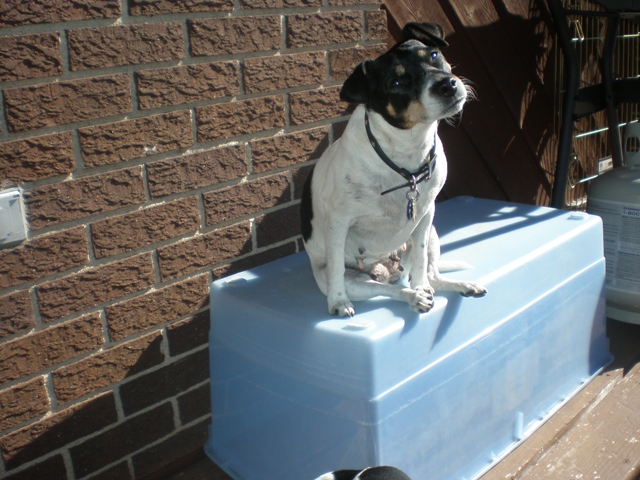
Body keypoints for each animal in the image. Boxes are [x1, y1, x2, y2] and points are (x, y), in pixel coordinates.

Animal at [300, 22, 484, 316]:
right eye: (396, 83)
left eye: (433, 55)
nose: (448, 85)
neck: (405, 159)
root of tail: (388, 269)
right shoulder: (338, 222)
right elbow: (338, 268)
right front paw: (338, 302)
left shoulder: (426, 214)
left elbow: (420, 260)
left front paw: (423, 286)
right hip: (356, 282)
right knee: (389, 290)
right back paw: (411, 296)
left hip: (433, 233)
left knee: (430, 275)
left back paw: (450, 286)